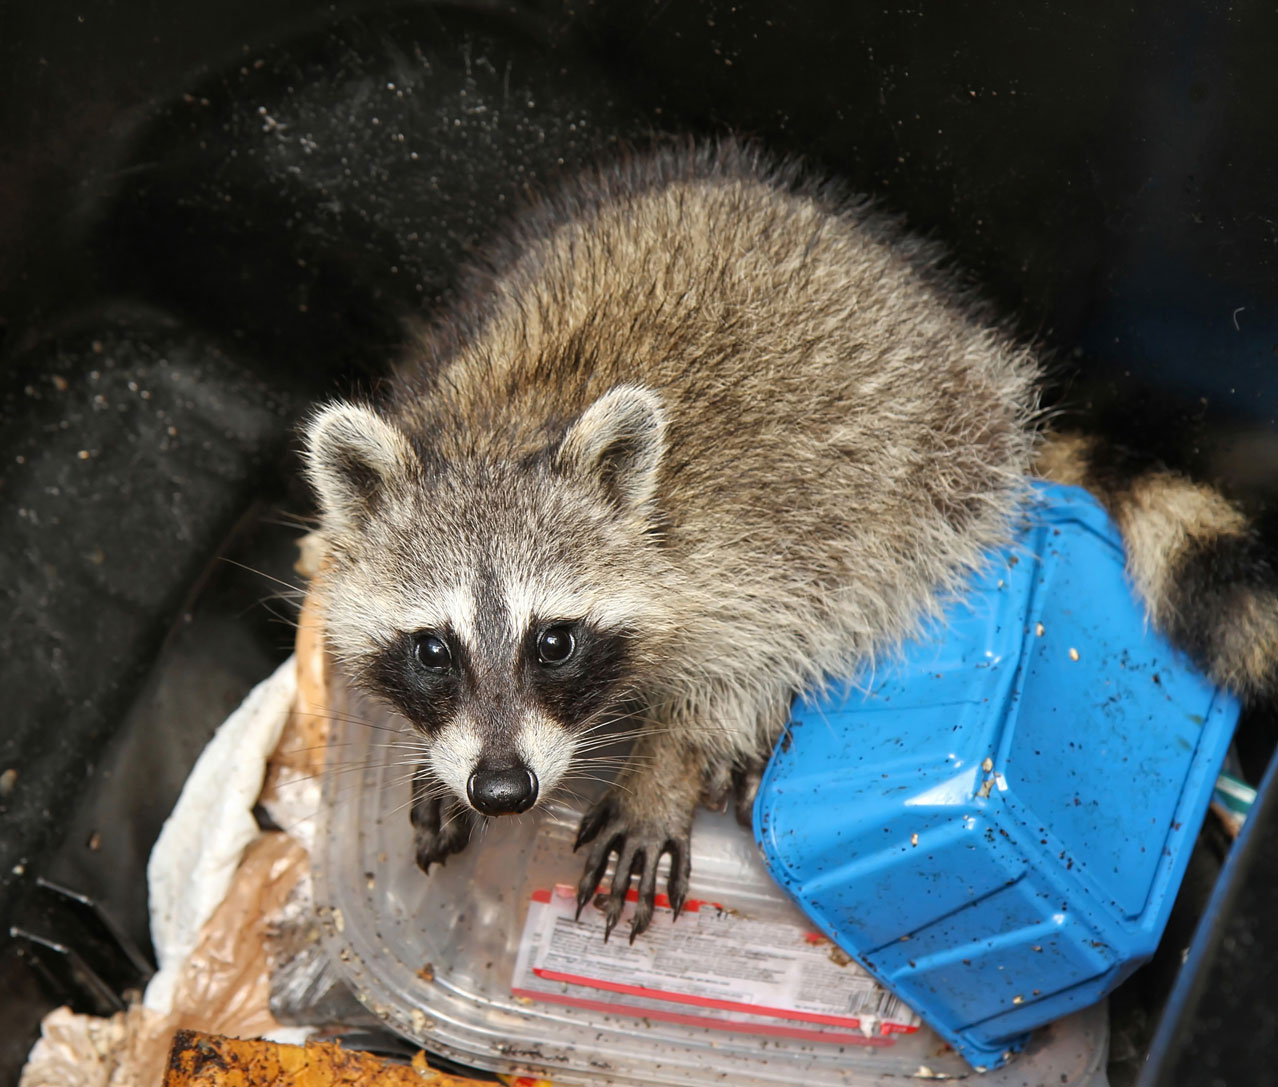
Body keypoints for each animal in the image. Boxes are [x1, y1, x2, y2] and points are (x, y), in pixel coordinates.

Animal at [301, 142, 1278, 945]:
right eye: (433, 649)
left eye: (555, 642)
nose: (504, 790)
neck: (501, 432)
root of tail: (944, 320)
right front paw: (437, 759)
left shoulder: (758, 544)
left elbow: (748, 663)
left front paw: (667, 763)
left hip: (931, 467)